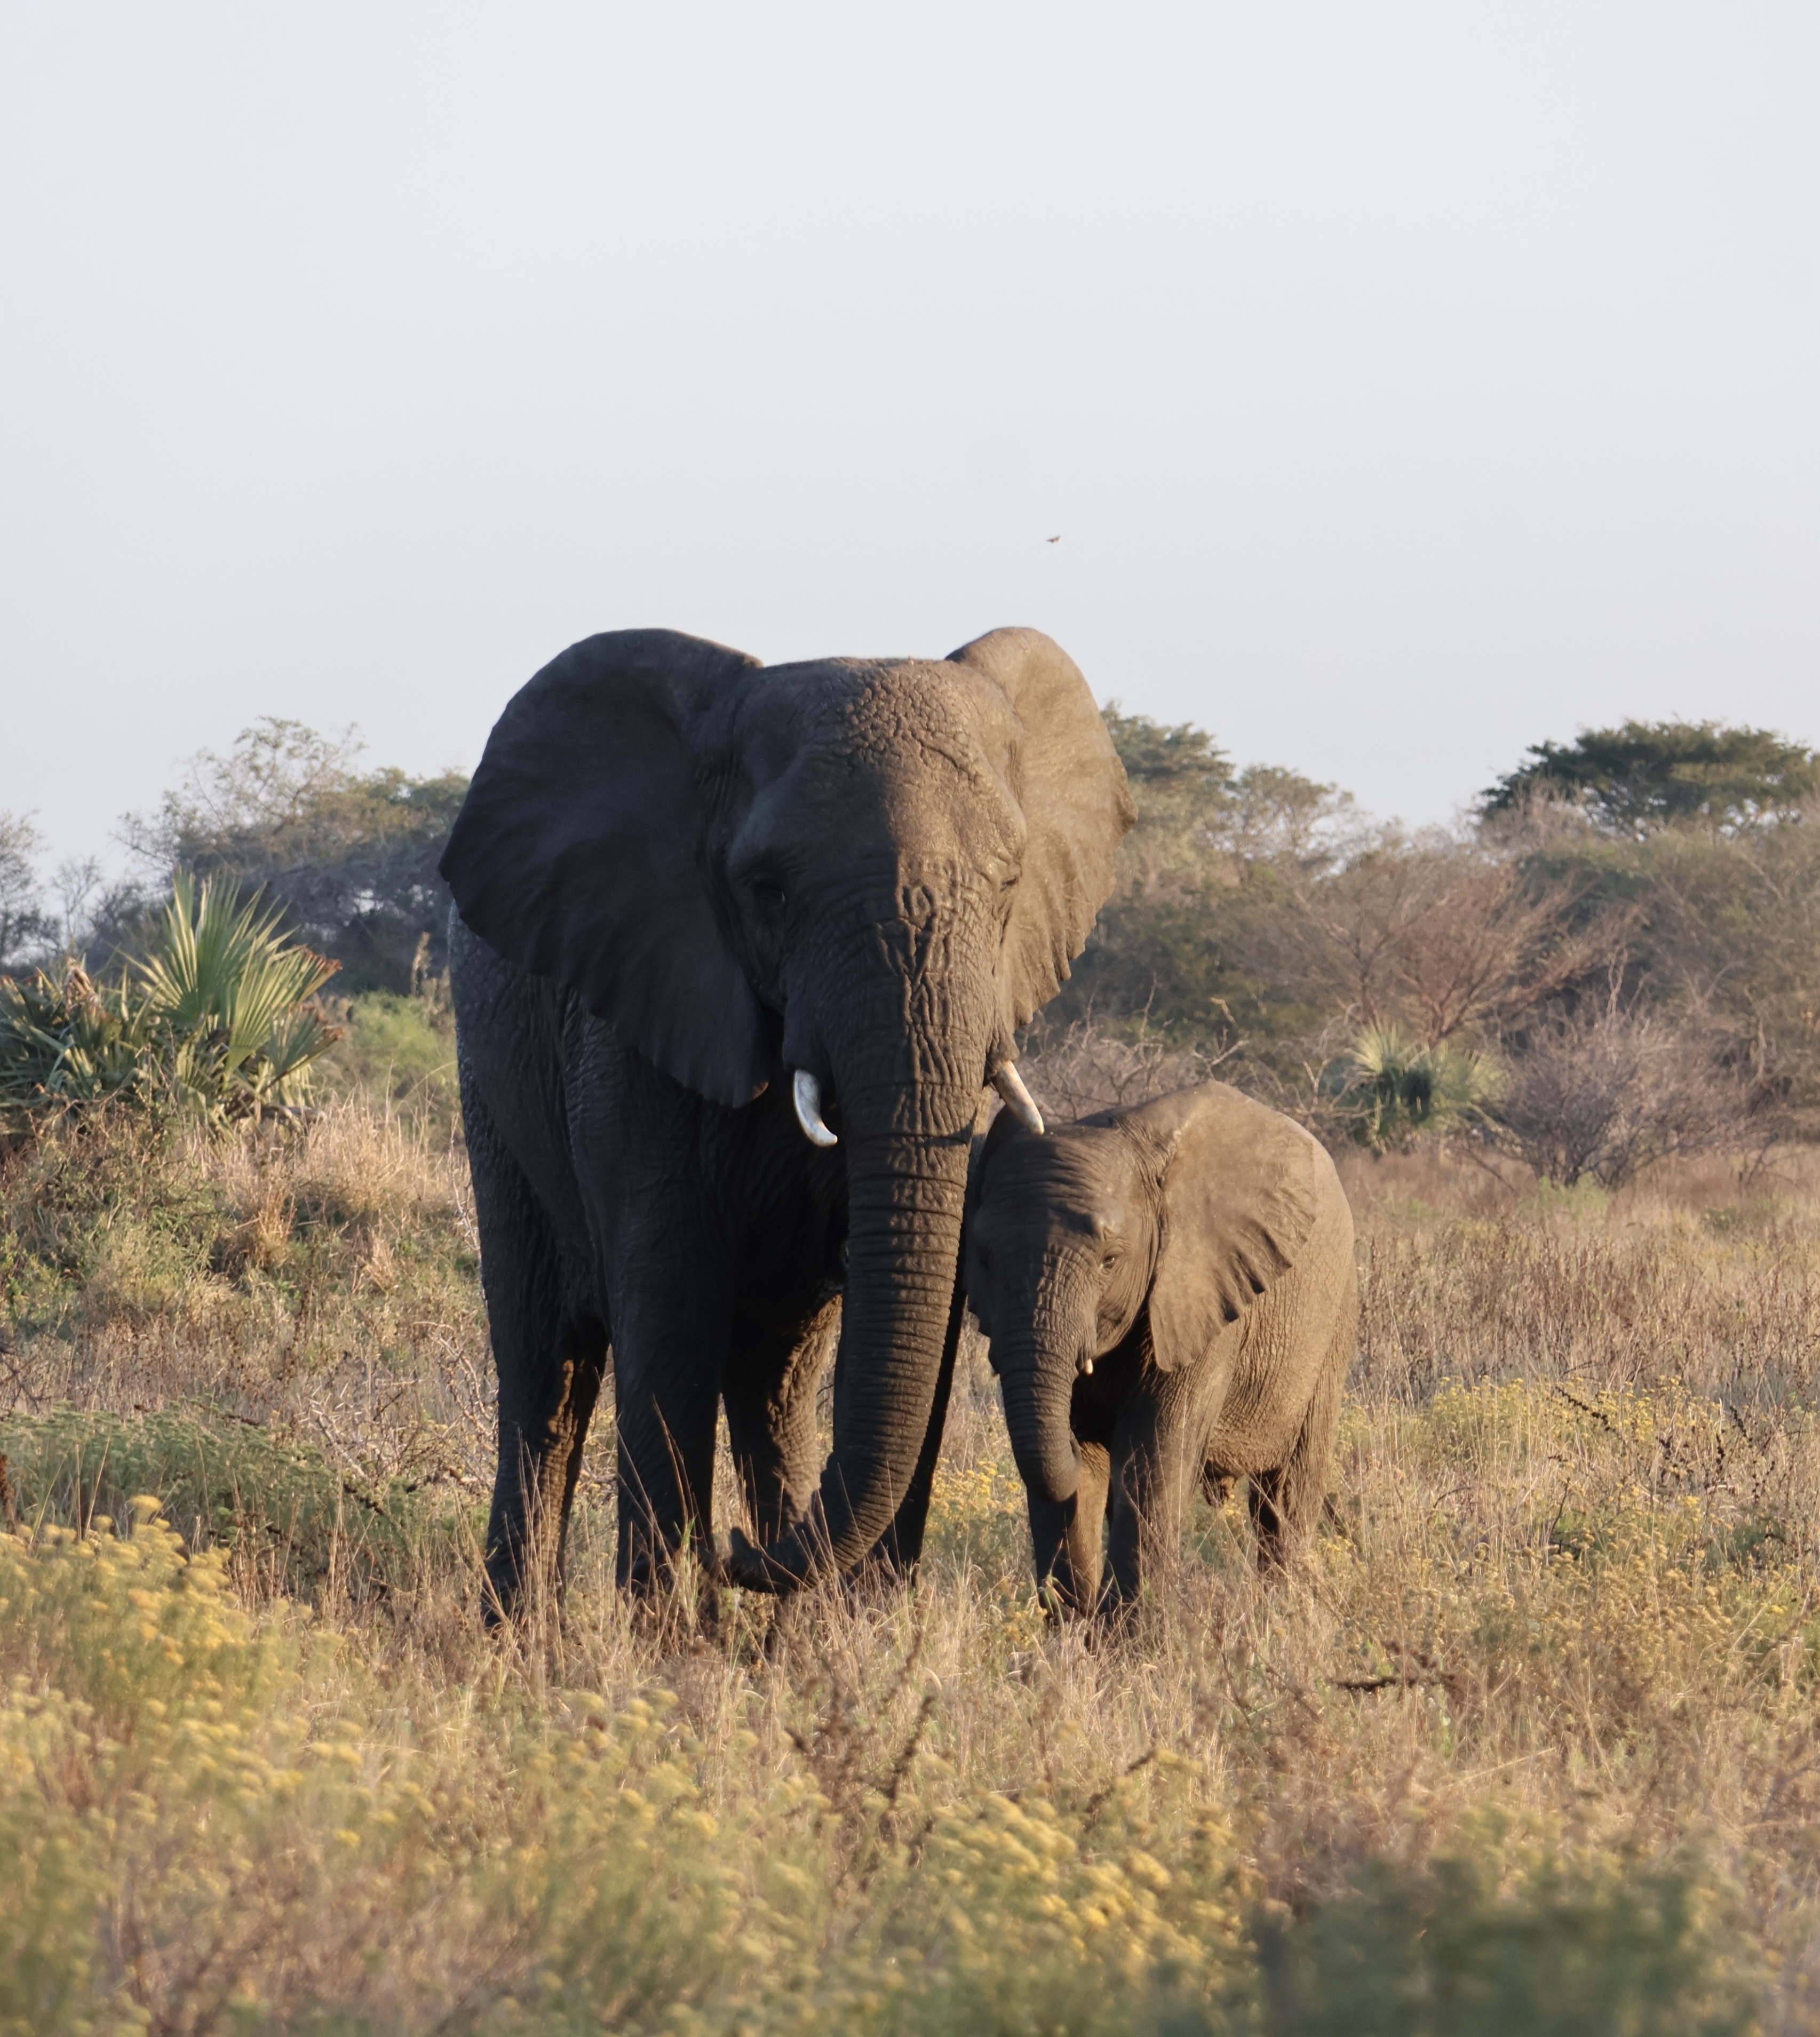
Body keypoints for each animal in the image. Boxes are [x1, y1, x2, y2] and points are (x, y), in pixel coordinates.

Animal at [438, 625, 1132, 1613]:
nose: (737, 1555)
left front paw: (857, 1628)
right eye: (768, 888)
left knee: (773, 1371)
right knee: (548, 1364)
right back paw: (525, 1634)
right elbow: (670, 1299)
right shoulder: (632, 1028)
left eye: (1007, 886)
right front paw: (670, 1637)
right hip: (492, 1087)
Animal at [962, 1080, 1357, 1611]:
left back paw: (1284, 1608)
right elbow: (1074, 1482)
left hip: (1335, 1316)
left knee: (1286, 1491)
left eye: (1110, 1261)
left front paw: (1131, 1632)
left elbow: (1154, 1455)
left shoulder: (1197, 1293)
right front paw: (1077, 1628)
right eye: (983, 1259)